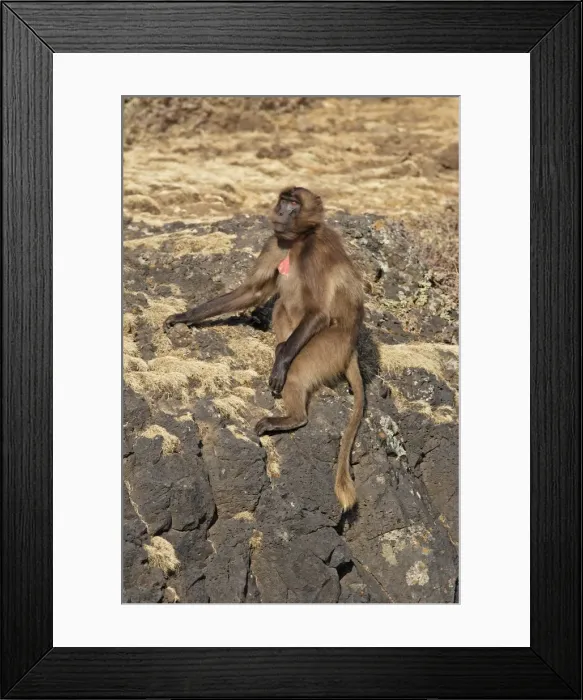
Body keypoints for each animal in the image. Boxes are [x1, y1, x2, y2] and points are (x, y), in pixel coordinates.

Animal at [164, 187, 365, 511]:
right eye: (283, 200)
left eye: (294, 204)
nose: (280, 212)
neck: (297, 242)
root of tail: (351, 348)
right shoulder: (275, 243)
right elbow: (253, 292)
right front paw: (185, 316)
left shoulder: (316, 251)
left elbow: (319, 312)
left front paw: (279, 363)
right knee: (281, 304)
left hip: (329, 346)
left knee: (298, 368)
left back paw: (291, 412)